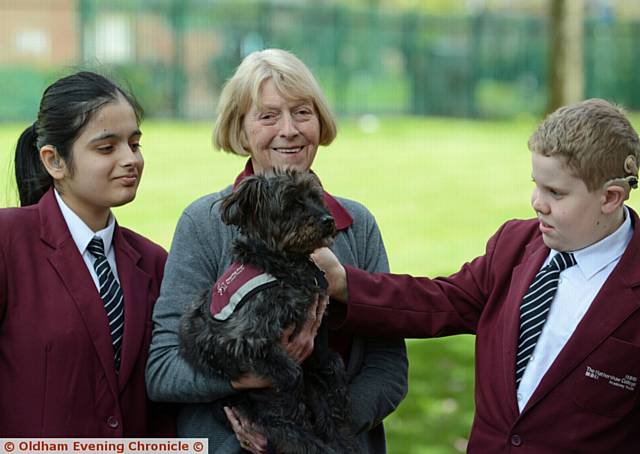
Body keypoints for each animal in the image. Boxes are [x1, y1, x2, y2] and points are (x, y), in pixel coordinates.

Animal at [180, 170, 360, 454]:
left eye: (315, 198)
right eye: (292, 203)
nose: (328, 220)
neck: (283, 265)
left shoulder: (317, 343)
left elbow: (331, 370)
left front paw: (341, 429)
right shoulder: (243, 339)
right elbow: (292, 373)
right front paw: (296, 407)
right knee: (292, 434)